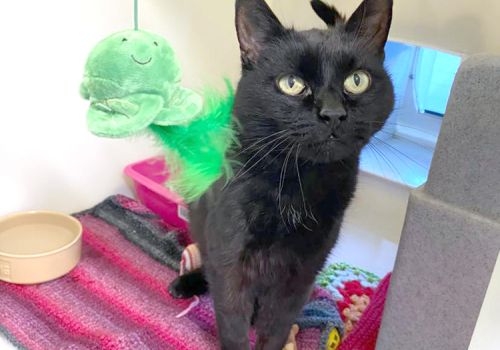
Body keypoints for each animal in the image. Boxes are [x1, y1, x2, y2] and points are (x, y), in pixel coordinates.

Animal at [170, 0, 396, 348]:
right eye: (291, 84)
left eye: (357, 81)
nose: (332, 113)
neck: (294, 183)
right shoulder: (231, 263)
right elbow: (232, 325)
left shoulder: (300, 275)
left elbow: (276, 328)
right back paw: (186, 283)